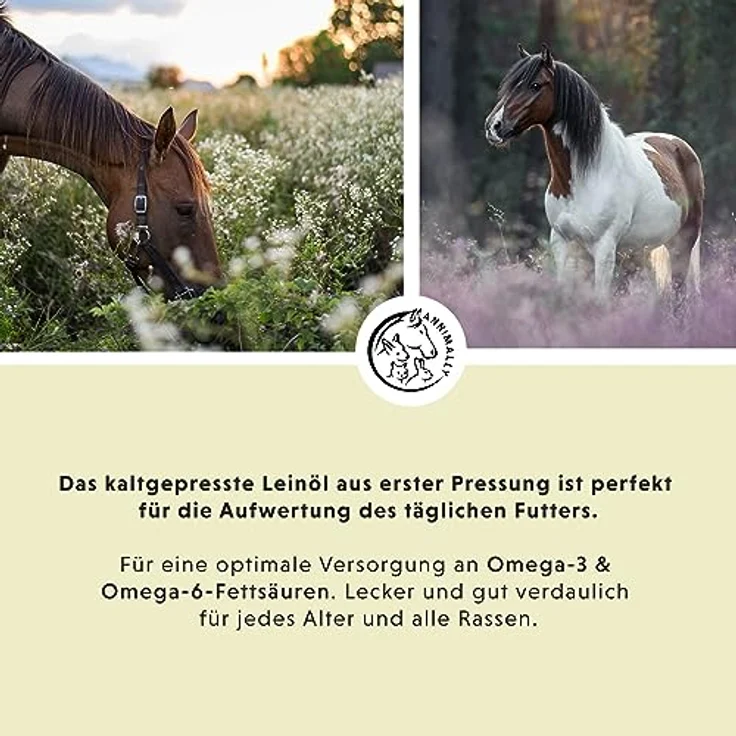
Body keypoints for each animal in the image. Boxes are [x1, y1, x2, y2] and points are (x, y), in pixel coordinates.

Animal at [485, 44, 704, 307]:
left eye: (535, 85)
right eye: (510, 85)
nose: (494, 126)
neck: (584, 178)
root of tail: (680, 146)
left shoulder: (604, 249)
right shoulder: (562, 244)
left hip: (682, 243)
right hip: (646, 248)